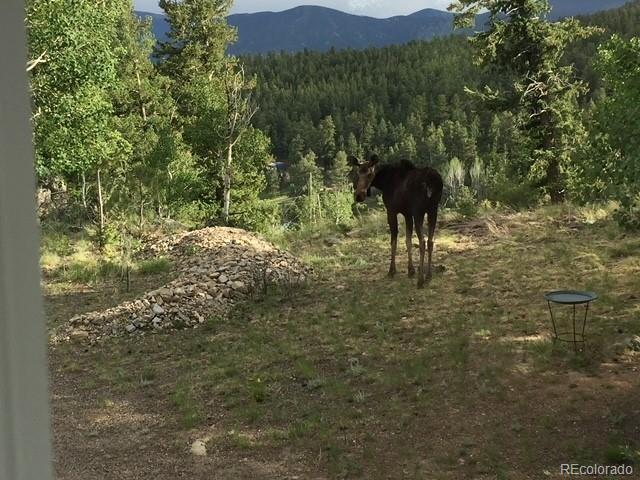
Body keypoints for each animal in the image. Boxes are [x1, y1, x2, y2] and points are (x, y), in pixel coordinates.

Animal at [348, 155, 442, 288]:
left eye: (370, 174)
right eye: (358, 173)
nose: (358, 196)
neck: (383, 182)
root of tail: (432, 182)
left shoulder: (392, 211)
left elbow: (394, 241)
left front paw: (392, 270)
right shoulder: (407, 213)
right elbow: (408, 241)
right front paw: (410, 270)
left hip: (419, 211)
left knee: (422, 242)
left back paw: (420, 280)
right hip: (433, 210)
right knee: (430, 240)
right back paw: (428, 275)